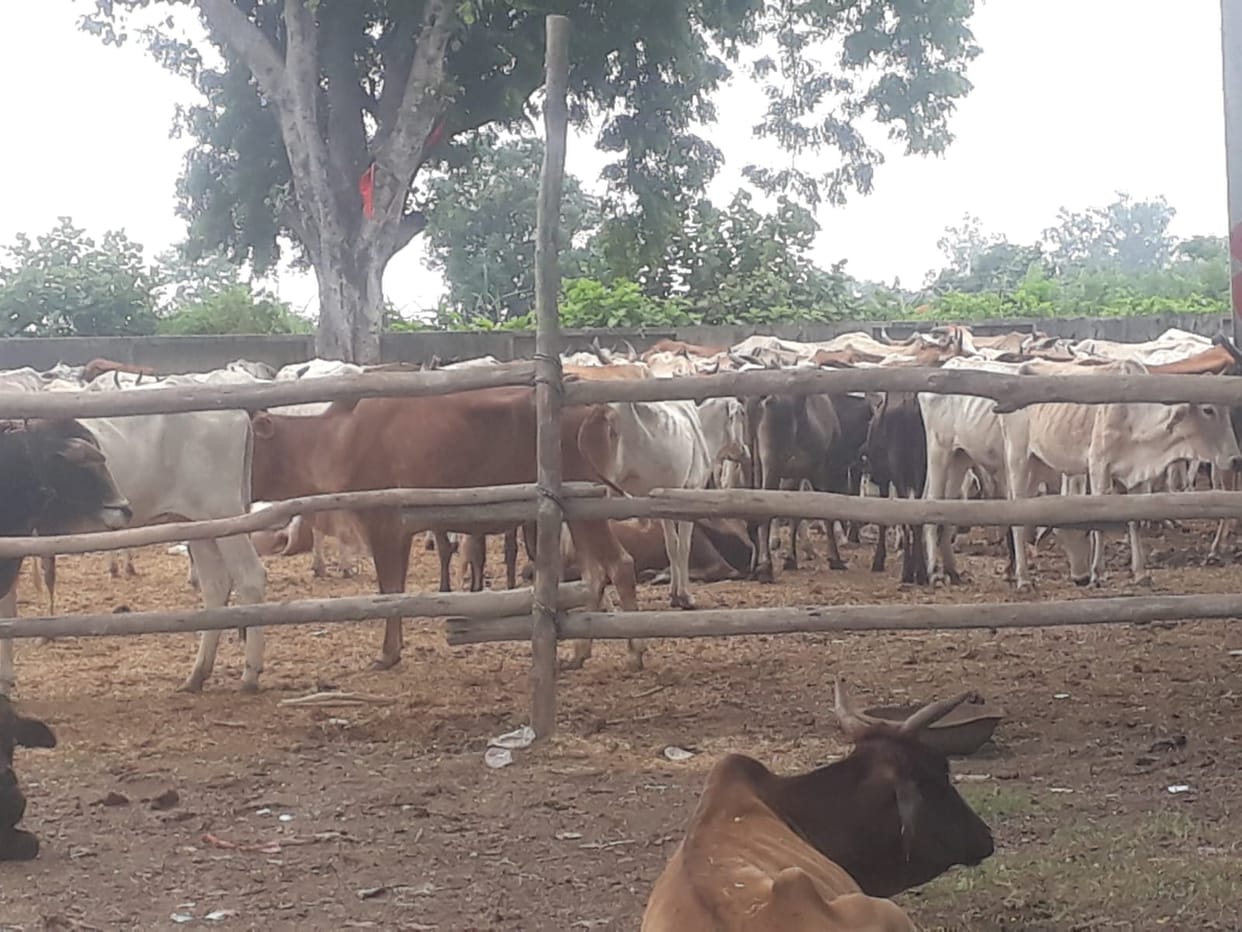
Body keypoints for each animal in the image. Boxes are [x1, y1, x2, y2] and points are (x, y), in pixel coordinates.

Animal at [249, 388, 646, 674]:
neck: (337, 440)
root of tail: (595, 408)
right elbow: (395, 589)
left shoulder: (383, 524)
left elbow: (389, 590)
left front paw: (387, 654)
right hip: (579, 512)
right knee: (594, 573)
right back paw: (578, 654)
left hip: (587, 508)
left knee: (620, 564)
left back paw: (635, 652)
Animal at [577, 401, 714, 609]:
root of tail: (599, 409)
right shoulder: (692, 491)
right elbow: (684, 547)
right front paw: (686, 596)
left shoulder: (666, 503)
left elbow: (672, 546)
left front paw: (674, 594)